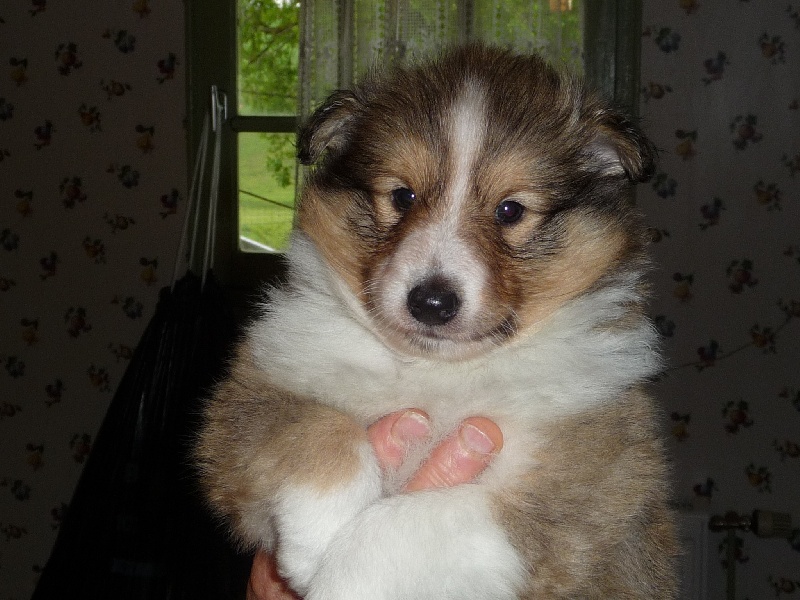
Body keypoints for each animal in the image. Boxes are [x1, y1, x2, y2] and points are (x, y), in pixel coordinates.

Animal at [197, 45, 680, 600]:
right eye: (402, 196)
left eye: (511, 210)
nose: (430, 303)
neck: (437, 372)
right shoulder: (249, 398)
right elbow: (314, 427)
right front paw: (318, 537)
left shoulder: (594, 491)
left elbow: (415, 519)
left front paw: (341, 579)